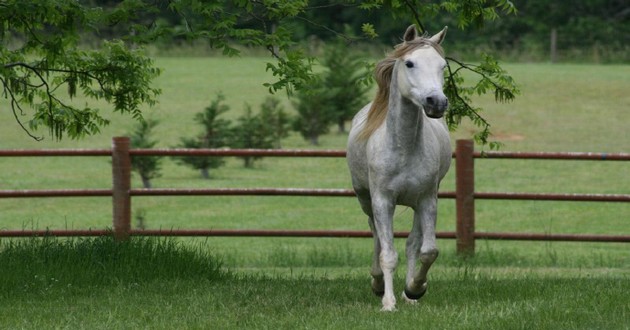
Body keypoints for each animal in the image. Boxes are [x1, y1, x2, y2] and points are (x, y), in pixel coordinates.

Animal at [346, 26, 454, 312]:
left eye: (442, 65)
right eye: (410, 63)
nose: (436, 102)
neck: (403, 148)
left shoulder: (427, 200)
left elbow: (426, 250)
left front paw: (415, 289)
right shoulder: (383, 201)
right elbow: (388, 253)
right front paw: (388, 302)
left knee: (412, 243)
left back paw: (408, 294)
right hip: (365, 199)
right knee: (375, 235)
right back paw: (377, 283)